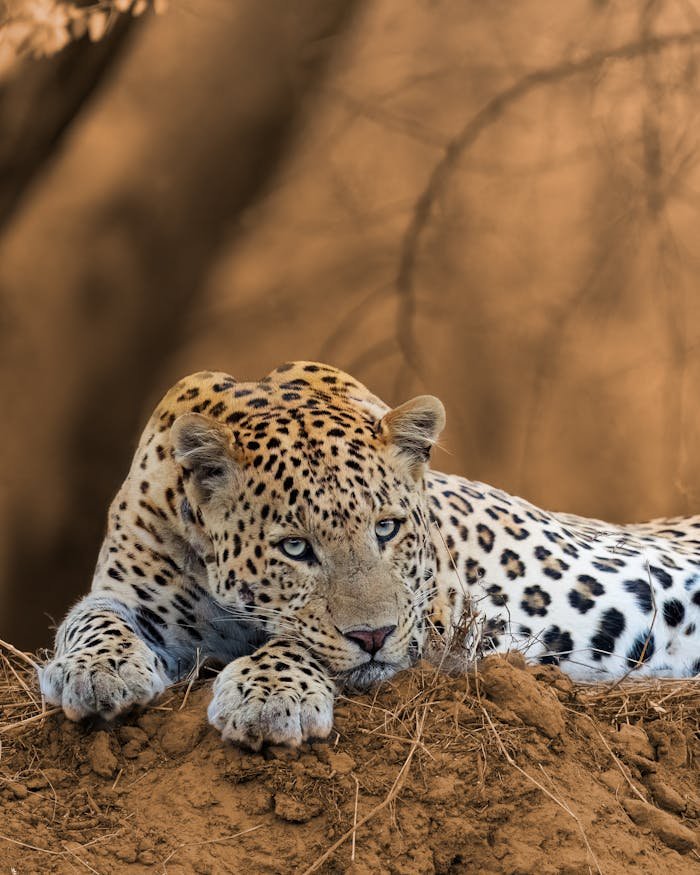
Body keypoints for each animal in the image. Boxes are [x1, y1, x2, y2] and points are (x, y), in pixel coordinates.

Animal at [39, 362, 700, 749]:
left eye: (386, 528)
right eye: (295, 547)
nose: (374, 637)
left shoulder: (434, 621)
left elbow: (302, 640)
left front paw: (268, 696)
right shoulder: (128, 590)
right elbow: (92, 617)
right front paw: (97, 673)